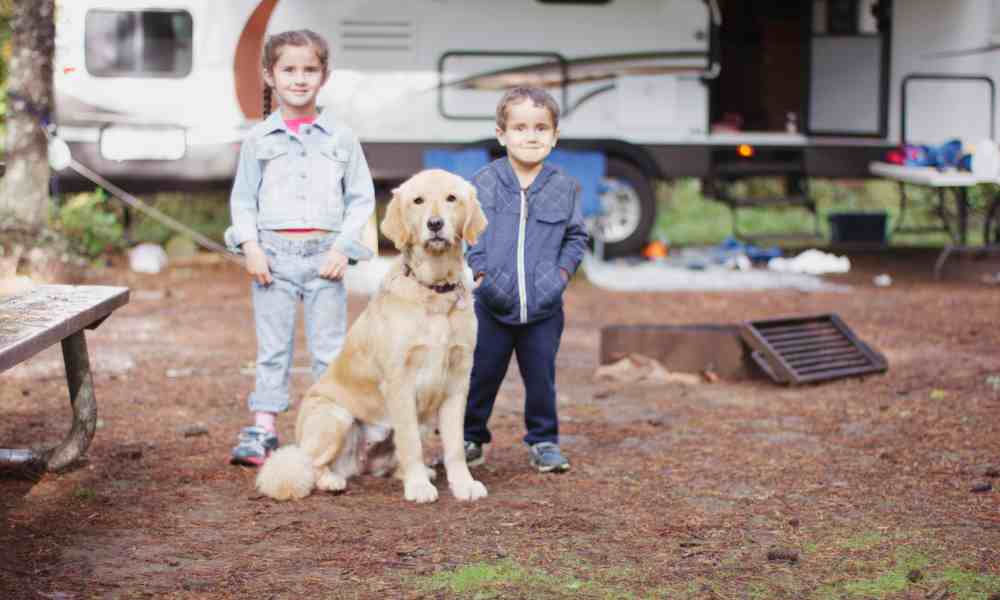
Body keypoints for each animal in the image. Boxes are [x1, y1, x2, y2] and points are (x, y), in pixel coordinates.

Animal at [256, 171, 490, 504]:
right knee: (309, 464)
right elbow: (410, 444)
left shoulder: (458, 381)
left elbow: (455, 445)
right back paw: (333, 480)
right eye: (418, 200)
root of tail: (359, 465)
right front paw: (419, 488)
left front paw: (463, 485)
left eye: (451, 198)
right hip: (335, 416)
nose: (435, 224)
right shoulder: (400, 382)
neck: (434, 290)